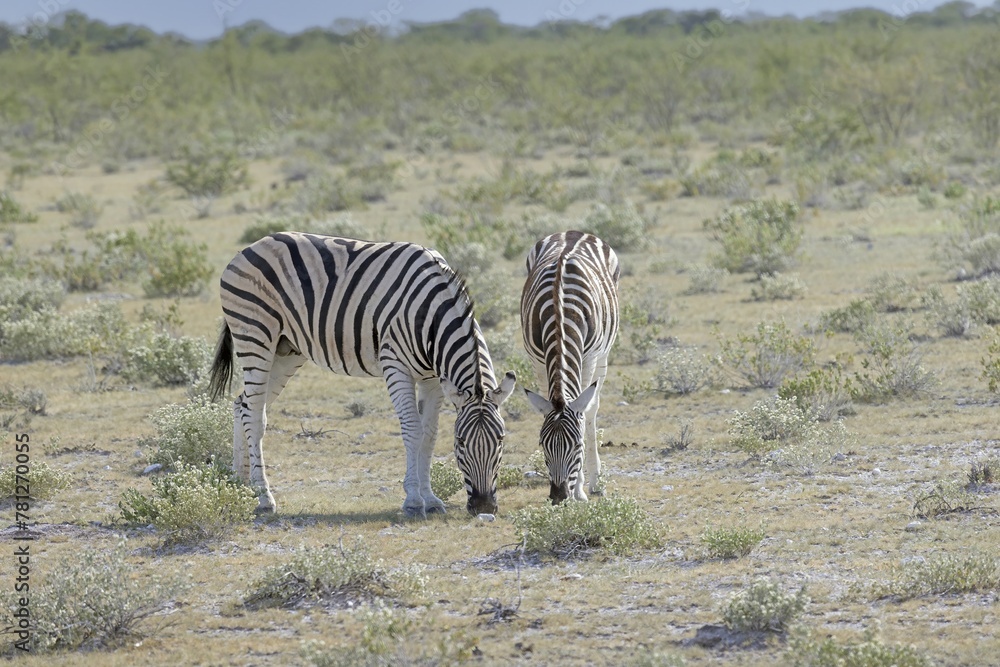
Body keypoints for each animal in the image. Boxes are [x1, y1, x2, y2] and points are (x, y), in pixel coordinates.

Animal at [208, 232, 516, 518]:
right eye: (461, 442)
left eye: (501, 439)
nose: (483, 507)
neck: (432, 316)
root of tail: (251, 246)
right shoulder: (396, 366)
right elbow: (413, 430)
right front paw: (414, 501)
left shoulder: (432, 379)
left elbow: (429, 434)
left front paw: (430, 499)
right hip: (255, 334)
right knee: (254, 415)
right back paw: (263, 497)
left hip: (286, 350)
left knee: (243, 405)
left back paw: (240, 484)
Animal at [520, 231, 620, 505]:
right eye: (542, 444)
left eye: (576, 445)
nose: (558, 497)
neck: (559, 311)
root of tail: (572, 232)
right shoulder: (537, 359)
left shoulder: (589, 356)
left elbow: (584, 413)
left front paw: (580, 490)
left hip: (603, 354)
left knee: (593, 408)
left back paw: (595, 482)